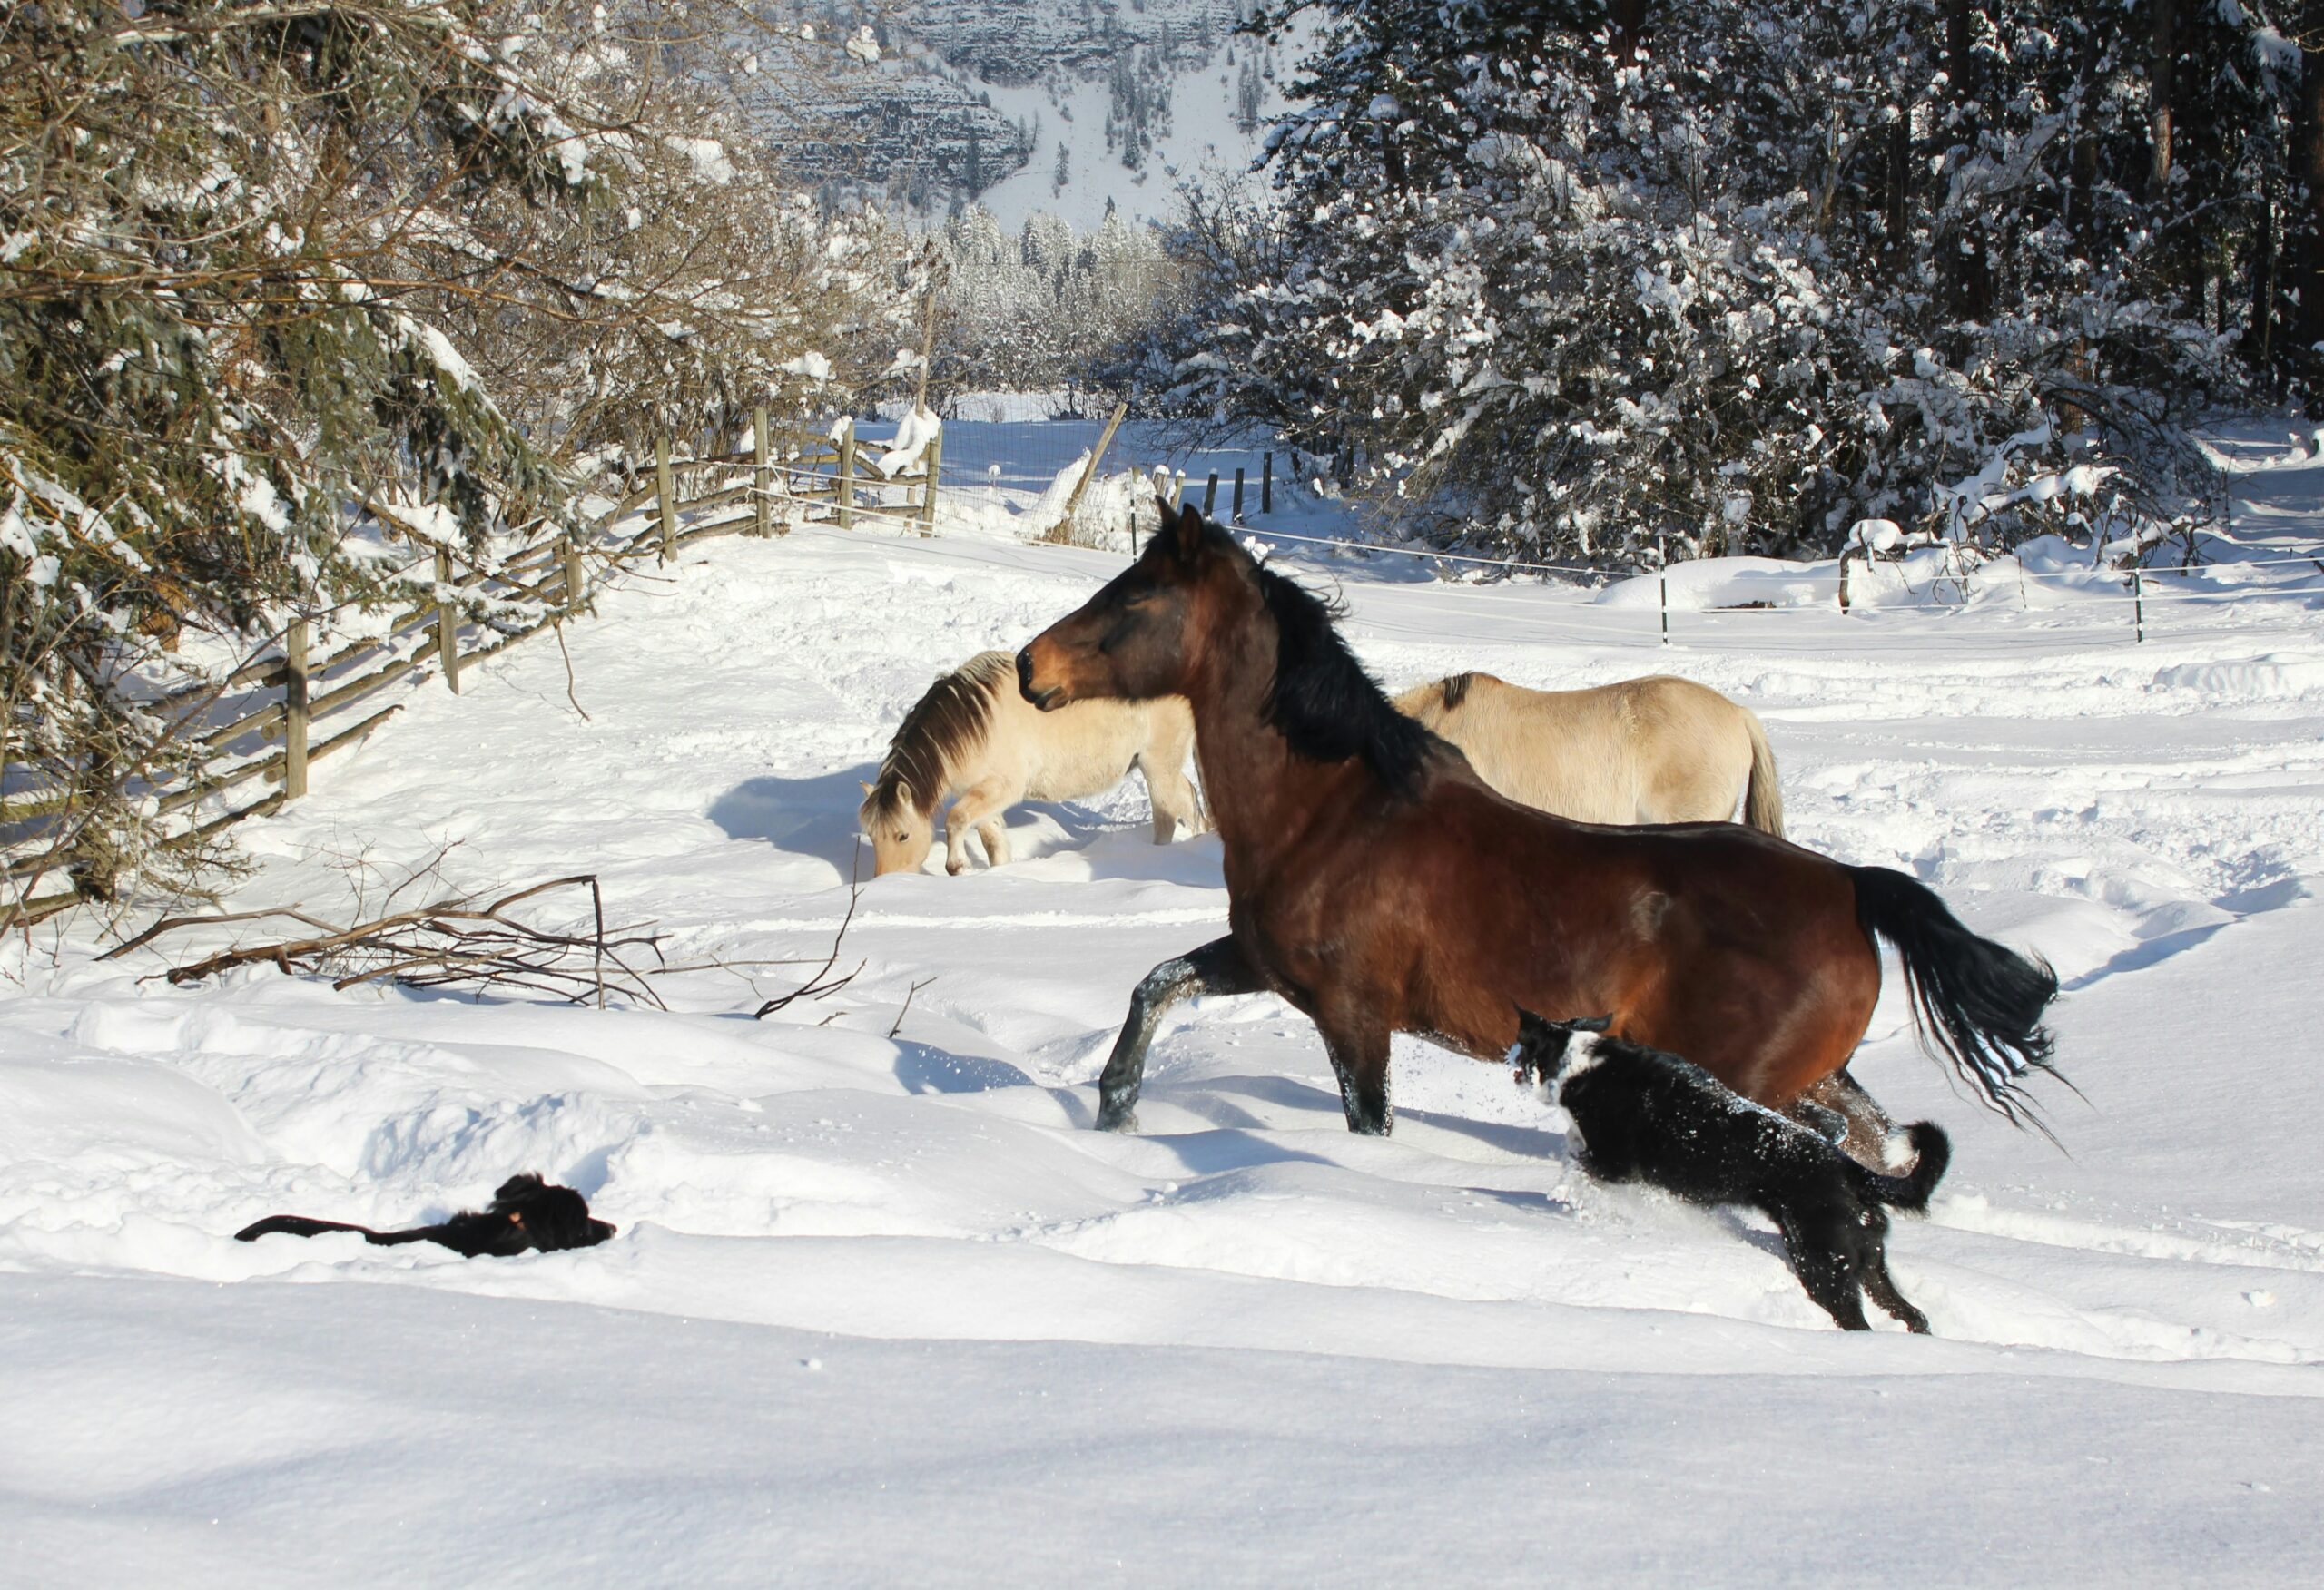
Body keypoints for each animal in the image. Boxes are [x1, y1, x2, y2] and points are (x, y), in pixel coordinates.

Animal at [859, 650, 1204, 877]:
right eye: (872, 836)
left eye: (902, 835)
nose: (886, 881)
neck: (975, 723)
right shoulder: (983, 797)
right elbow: (994, 844)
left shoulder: (1003, 788)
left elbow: (955, 820)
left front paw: (956, 865)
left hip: (1158, 767)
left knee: (1175, 813)